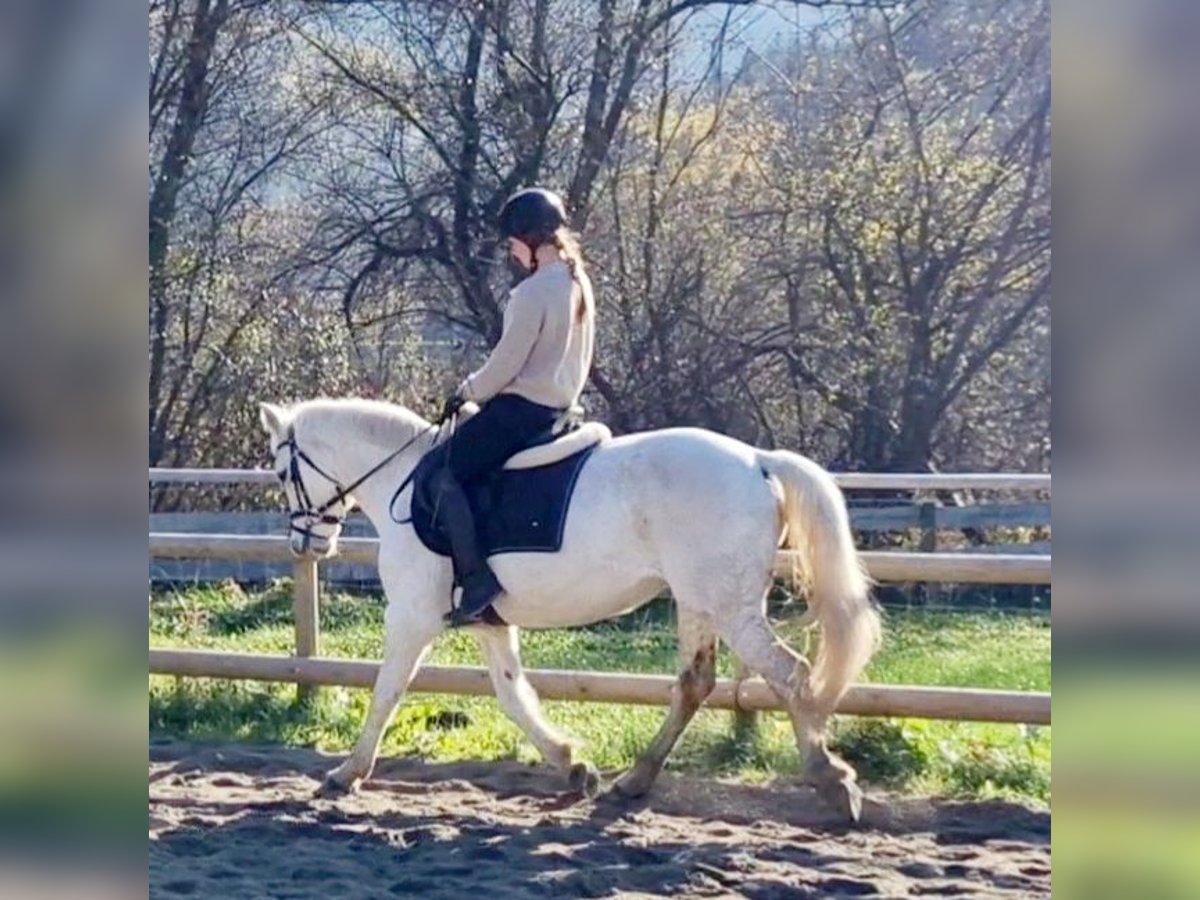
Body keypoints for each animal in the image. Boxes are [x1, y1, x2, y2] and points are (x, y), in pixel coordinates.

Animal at [260, 398, 883, 820]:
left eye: (281, 471)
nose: (306, 544)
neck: (403, 480)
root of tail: (758, 461)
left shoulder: (411, 616)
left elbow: (388, 689)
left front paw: (347, 772)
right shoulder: (487, 620)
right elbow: (513, 694)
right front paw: (572, 764)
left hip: (729, 606)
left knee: (790, 674)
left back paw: (833, 781)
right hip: (699, 602)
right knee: (695, 683)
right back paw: (635, 780)